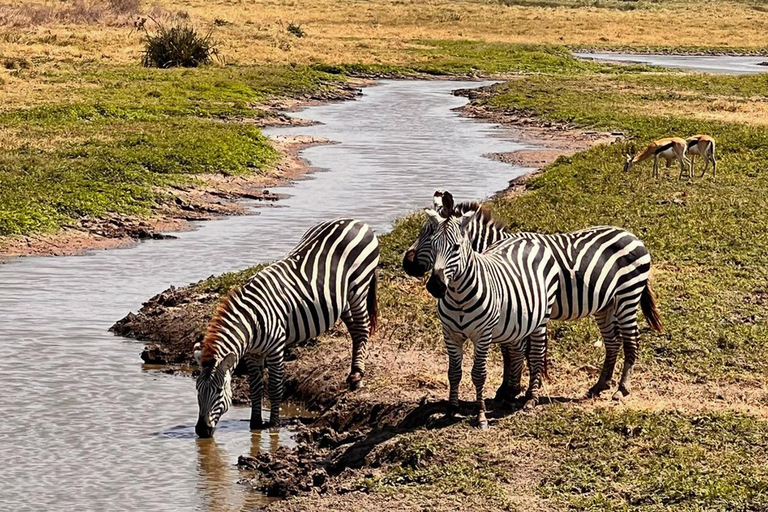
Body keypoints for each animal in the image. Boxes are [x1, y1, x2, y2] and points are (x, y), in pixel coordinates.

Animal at [194, 218, 380, 438]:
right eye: (197, 390)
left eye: (219, 392)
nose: (201, 430)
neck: (252, 322)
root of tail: (358, 222)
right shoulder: (252, 353)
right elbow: (255, 387)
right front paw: (255, 423)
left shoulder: (276, 349)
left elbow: (274, 387)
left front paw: (274, 424)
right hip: (341, 300)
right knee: (354, 330)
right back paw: (352, 375)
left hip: (358, 288)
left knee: (362, 328)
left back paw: (357, 378)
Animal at [404, 192, 664, 404]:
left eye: (427, 234)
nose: (407, 264)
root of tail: (632, 236)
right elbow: (509, 350)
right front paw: (508, 388)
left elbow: (522, 352)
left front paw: (515, 389)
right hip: (605, 305)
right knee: (613, 342)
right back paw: (600, 385)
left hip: (627, 296)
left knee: (631, 340)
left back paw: (621, 389)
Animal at [426, 198, 560, 430]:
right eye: (433, 246)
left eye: (456, 247)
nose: (435, 286)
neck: (458, 296)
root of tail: (525, 238)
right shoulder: (450, 334)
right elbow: (454, 373)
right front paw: (451, 410)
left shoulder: (482, 335)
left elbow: (479, 374)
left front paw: (481, 415)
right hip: (517, 321)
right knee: (517, 351)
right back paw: (510, 396)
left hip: (541, 319)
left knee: (535, 355)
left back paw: (530, 398)